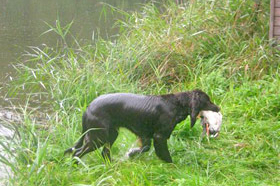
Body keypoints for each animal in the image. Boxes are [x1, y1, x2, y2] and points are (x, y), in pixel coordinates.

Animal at [64, 89, 220, 163]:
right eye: (207, 100)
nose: (218, 108)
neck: (176, 104)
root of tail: (88, 109)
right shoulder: (159, 136)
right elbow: (165, 155)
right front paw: (173, 167)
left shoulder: (146, 135)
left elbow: (144, 148)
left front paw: (131, 154)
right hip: (98, 137)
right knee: (77, 153)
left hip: (111, 134)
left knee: (104, 153)